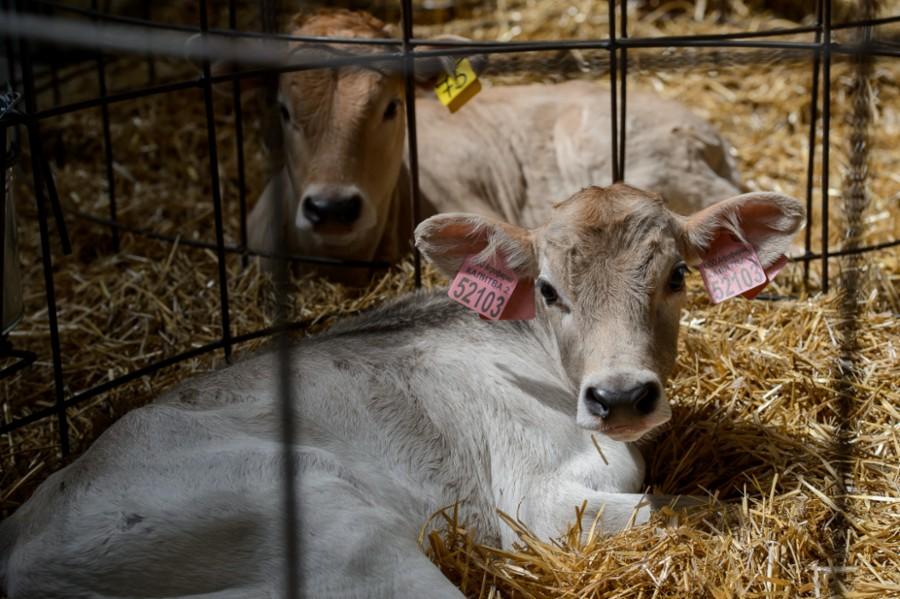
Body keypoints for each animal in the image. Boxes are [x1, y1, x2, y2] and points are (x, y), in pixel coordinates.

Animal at [0, 183, 803, 598]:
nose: (623, 396)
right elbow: (703, 510)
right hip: (334, 528)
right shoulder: (536, 502)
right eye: (548, 290)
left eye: (676, 276)